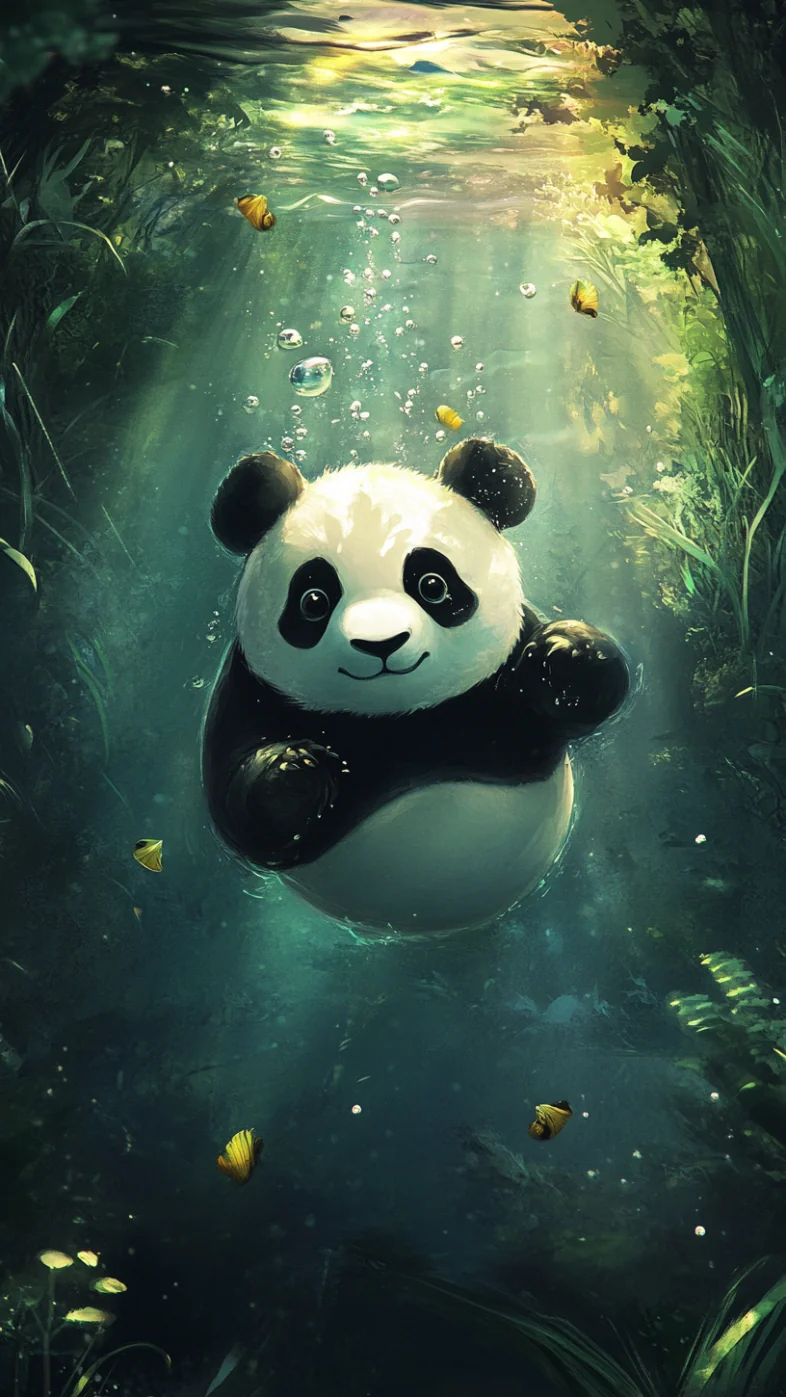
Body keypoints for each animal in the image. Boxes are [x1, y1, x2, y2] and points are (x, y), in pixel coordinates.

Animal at [202, 437, 630, 935]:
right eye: (313, 601)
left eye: (432, 585)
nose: (381, 643)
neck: (405, 720)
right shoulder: (249, 691)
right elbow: (239, 816)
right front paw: (297, 771)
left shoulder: (503, 673)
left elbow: (597, 692)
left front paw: (565, 657)